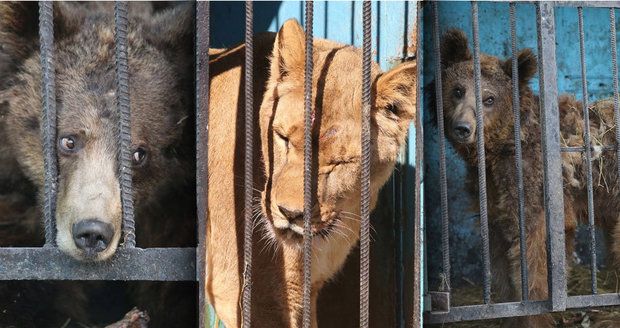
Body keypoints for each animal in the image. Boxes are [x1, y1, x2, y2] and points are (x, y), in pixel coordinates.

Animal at [436, 28, 620, 328]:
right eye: (457, 90)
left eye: (489, 99)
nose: (463, 128)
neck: (500, 149)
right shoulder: (493, 196)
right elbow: (500, 257)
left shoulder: (531, 187)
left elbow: (533, 261)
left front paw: (536, 314)